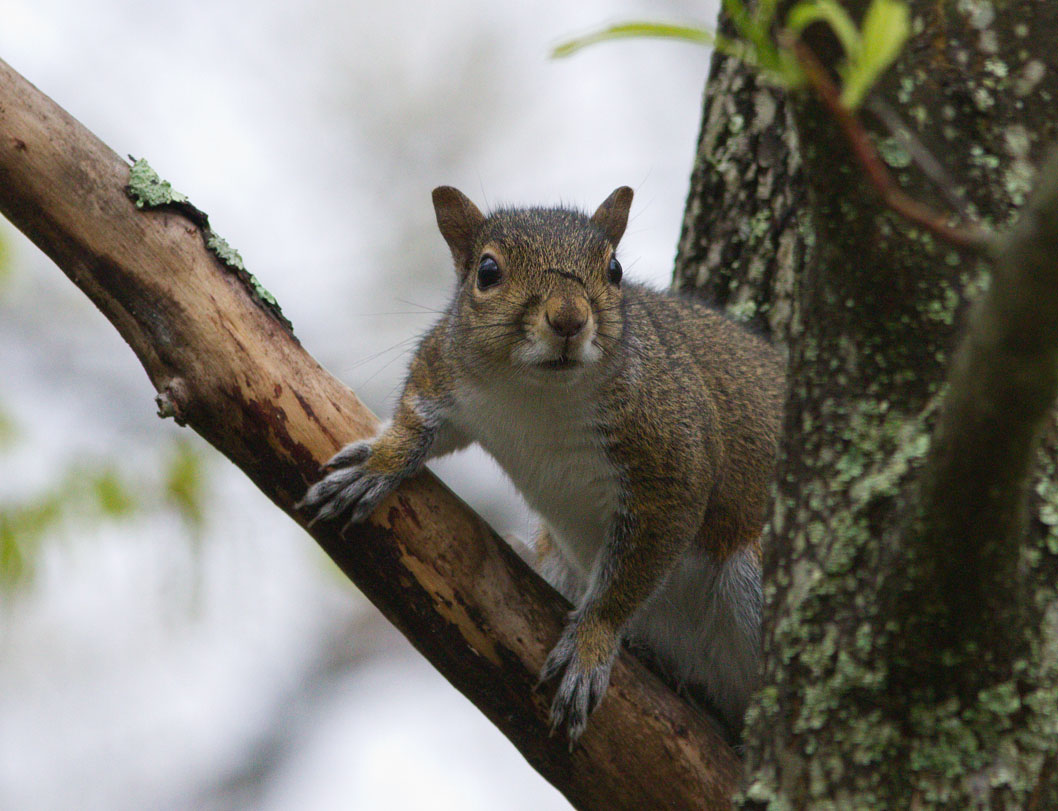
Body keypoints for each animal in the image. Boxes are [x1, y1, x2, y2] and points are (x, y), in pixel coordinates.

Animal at [298, 186, 787, 744]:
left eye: (615, 269)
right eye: (487, 271)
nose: (569, 318)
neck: (540, 397)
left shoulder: (674, 457)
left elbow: (635, 570)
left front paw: (591, 642)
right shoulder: (446, 365)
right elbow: (419, 418)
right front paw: (379, 464)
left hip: (754, 575)